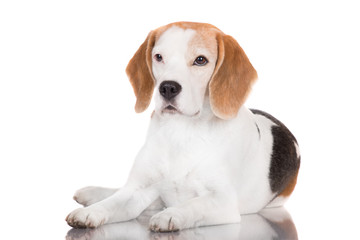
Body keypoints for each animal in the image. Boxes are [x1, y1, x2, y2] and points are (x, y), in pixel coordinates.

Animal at [65, 21, 300, 232]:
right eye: (158, 57)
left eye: (200, 60)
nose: (167, 88)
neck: (181, 132)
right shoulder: (138, 191)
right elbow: (112, 203)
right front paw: (90, 212)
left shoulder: (223, 201)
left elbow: (192, 205)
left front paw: (170, 215)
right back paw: (92, 193)